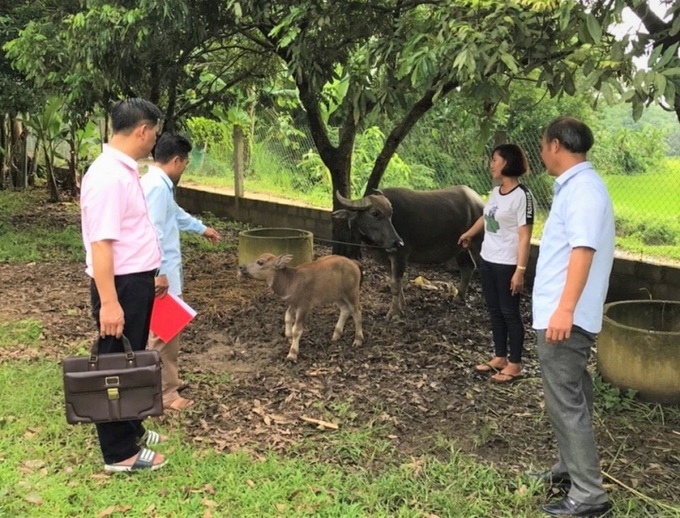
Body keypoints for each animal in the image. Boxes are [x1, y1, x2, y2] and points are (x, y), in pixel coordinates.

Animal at [334, 185, 484, 318]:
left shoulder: (400, 256)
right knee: (467, 267)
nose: (397, 242)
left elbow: (395, 285)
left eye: (390, 214)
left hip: (478, 246)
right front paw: (402, 306)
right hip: (462, 248)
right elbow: (397, 284)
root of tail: (479, 203)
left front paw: (393, 313)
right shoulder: (387, 260)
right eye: (375, 213)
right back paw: (459, 297)